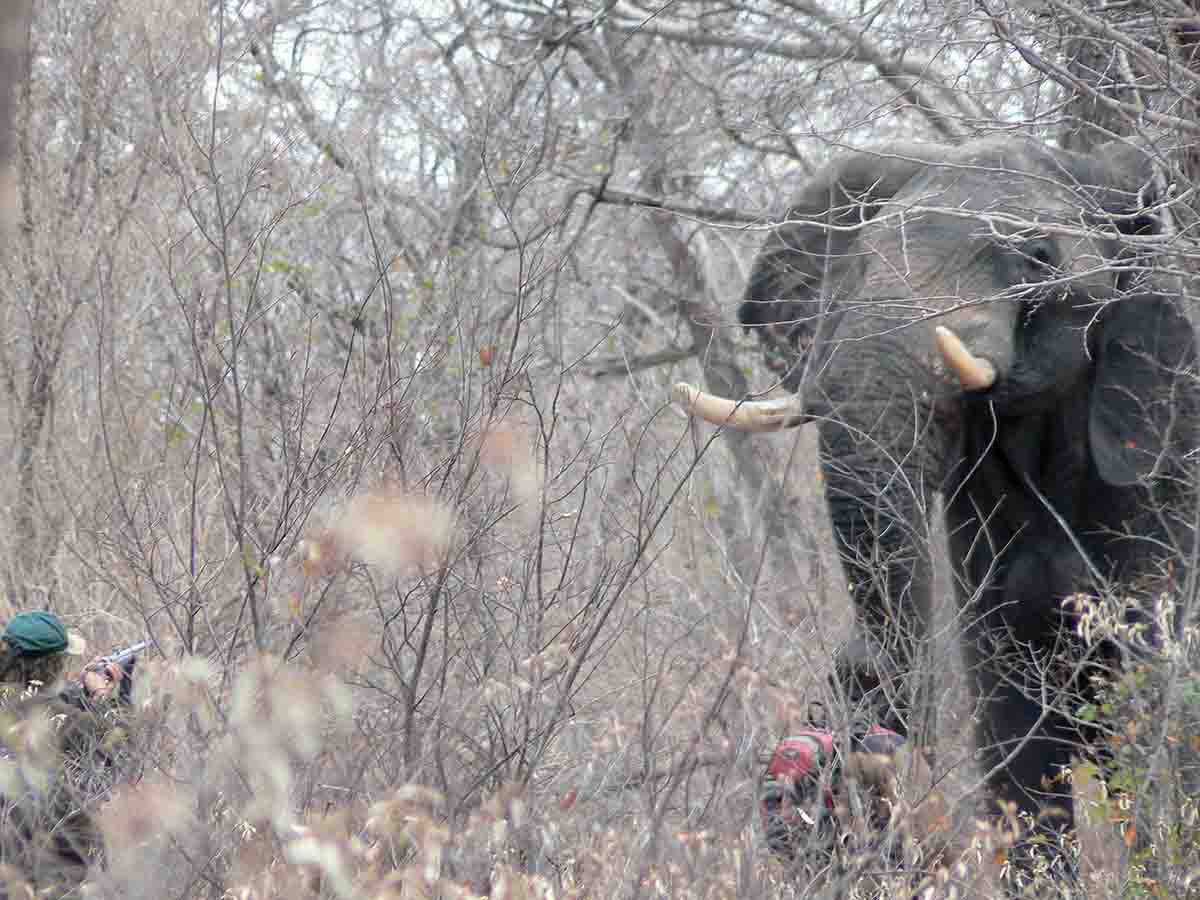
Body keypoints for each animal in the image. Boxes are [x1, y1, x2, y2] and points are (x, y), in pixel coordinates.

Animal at [676, 137, 1200, 868]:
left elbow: (1150, 705)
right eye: (857, 265)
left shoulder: (1166, 465)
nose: (853, 721)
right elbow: (1011, 733)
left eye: (1039, 255)